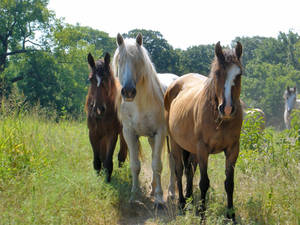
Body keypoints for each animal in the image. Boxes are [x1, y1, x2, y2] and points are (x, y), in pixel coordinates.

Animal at [85, 53, 127, 183]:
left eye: (106, 79)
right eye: (91, 79)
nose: (98, 109)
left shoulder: (111, 134)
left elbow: (108, 160)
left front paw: (107, 179)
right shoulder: (93, 133)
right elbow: (97, 159)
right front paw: (98, 176)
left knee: (122, 154)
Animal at [112, 32, 178, 207]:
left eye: (138, 61)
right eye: (120, 61)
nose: (128, 91)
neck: (140, 105)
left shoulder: (160, 133)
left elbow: (157, 165)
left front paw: (159, 199)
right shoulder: (129, 134)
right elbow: (135, 166)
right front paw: (134, 196)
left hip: (170, 137)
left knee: (172, 160)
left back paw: (171, 192)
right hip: (151, 138)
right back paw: (153, 188)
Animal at [164, 41, 244, 221]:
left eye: (239, 74)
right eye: (217, 73)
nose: (227, 109)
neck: (219, 119)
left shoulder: (233, 149)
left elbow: (229, 183)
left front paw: (231, 216)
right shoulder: (203, 149)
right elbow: (204, 182)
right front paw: (202, 215)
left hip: (190, 149)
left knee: (189, 170)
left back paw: (188, 199)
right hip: (175, 143)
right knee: (179, 170)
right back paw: (182, 204)